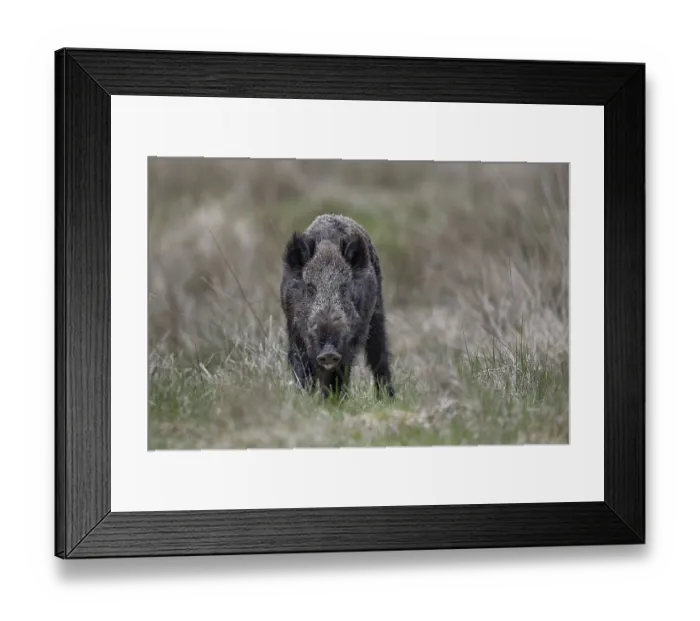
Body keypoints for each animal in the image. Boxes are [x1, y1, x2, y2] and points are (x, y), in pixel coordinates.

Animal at [280, 213, 395, 400]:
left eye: (344, 288)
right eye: (310, 288)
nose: (329, 352)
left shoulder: (351, 338)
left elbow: (339, 371)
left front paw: (332, 401)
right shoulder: (295, 331)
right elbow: (302, 366)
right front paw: (302, 399)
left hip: (377, 313)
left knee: (379, 354)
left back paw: (387, 398)